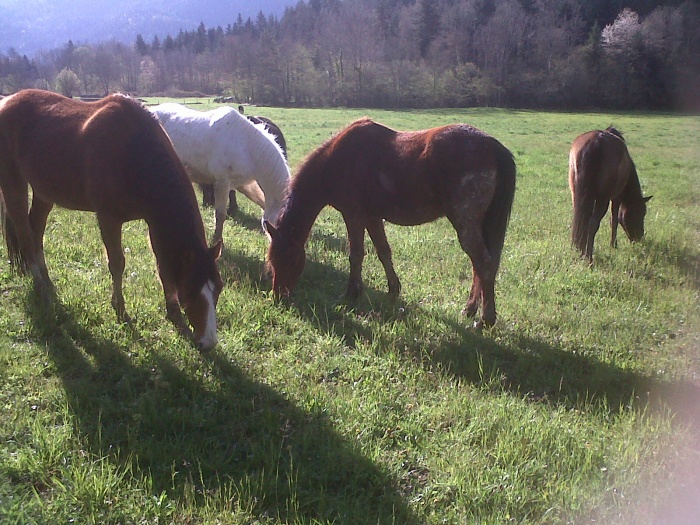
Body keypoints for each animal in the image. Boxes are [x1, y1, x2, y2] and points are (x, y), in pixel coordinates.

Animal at [0, 89, 223, 352]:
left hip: (44, 192)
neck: (133, 153)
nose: (208, 342)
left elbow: (163, 265)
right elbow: (117, 264)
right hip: (13, 183)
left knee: (36, 231)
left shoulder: (153, 222)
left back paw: (46, 279)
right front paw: (121, 311)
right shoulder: (108, 218)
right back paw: (40, 286)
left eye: (218, 289)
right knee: (24, 233)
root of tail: (7, 101)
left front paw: (175, 316)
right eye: (191, 289)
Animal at [266, 117, 516, 328]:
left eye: (288, 260)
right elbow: (383, 251)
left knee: (483, 263)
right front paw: (393, 290)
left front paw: (351, 293)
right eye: (272, 261)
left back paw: (486, 319)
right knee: (481, 265)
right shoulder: (372, 217)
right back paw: (470, 309)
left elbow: (356, 254)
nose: (278, 297)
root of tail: (493, 147)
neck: (337, 160)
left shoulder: (354, 215)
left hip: (466, 224)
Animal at [568, 127, 652, 262]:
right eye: (640, 214)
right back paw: (589, 257)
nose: (639, 238)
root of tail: (596, 143)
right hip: (603, 199)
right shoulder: (616, 197)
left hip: (576, 194)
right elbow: (614, 220)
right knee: (592, 224)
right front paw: (613, 245)